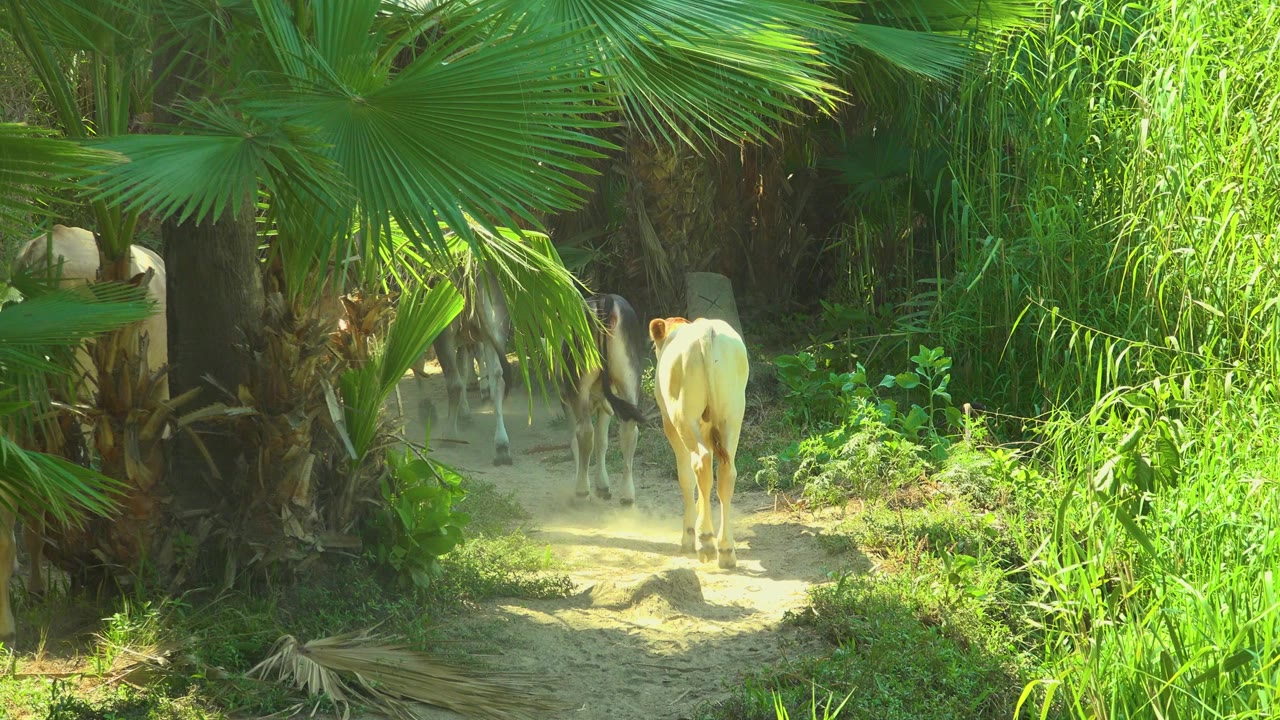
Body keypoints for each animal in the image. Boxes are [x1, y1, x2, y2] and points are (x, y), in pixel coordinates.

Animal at [559, 294, 647, 505]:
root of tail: (605, 299)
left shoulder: (565, 400)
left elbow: (576, 441)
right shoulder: (604, 405)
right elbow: (602, 441)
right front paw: (603, 486)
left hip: (579, 383)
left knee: (584, 432)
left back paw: (582, 490)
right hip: (629, 377)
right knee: (629, 430)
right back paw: (627, 495)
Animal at [648, 316, 749, 569]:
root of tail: (706, 328)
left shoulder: (669, 424)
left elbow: (685, 478)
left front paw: (688, 535)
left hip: (683, 417)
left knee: (700, 464)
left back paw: (705, 541)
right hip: (732, 416)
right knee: (726, 472)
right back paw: (725, 549)